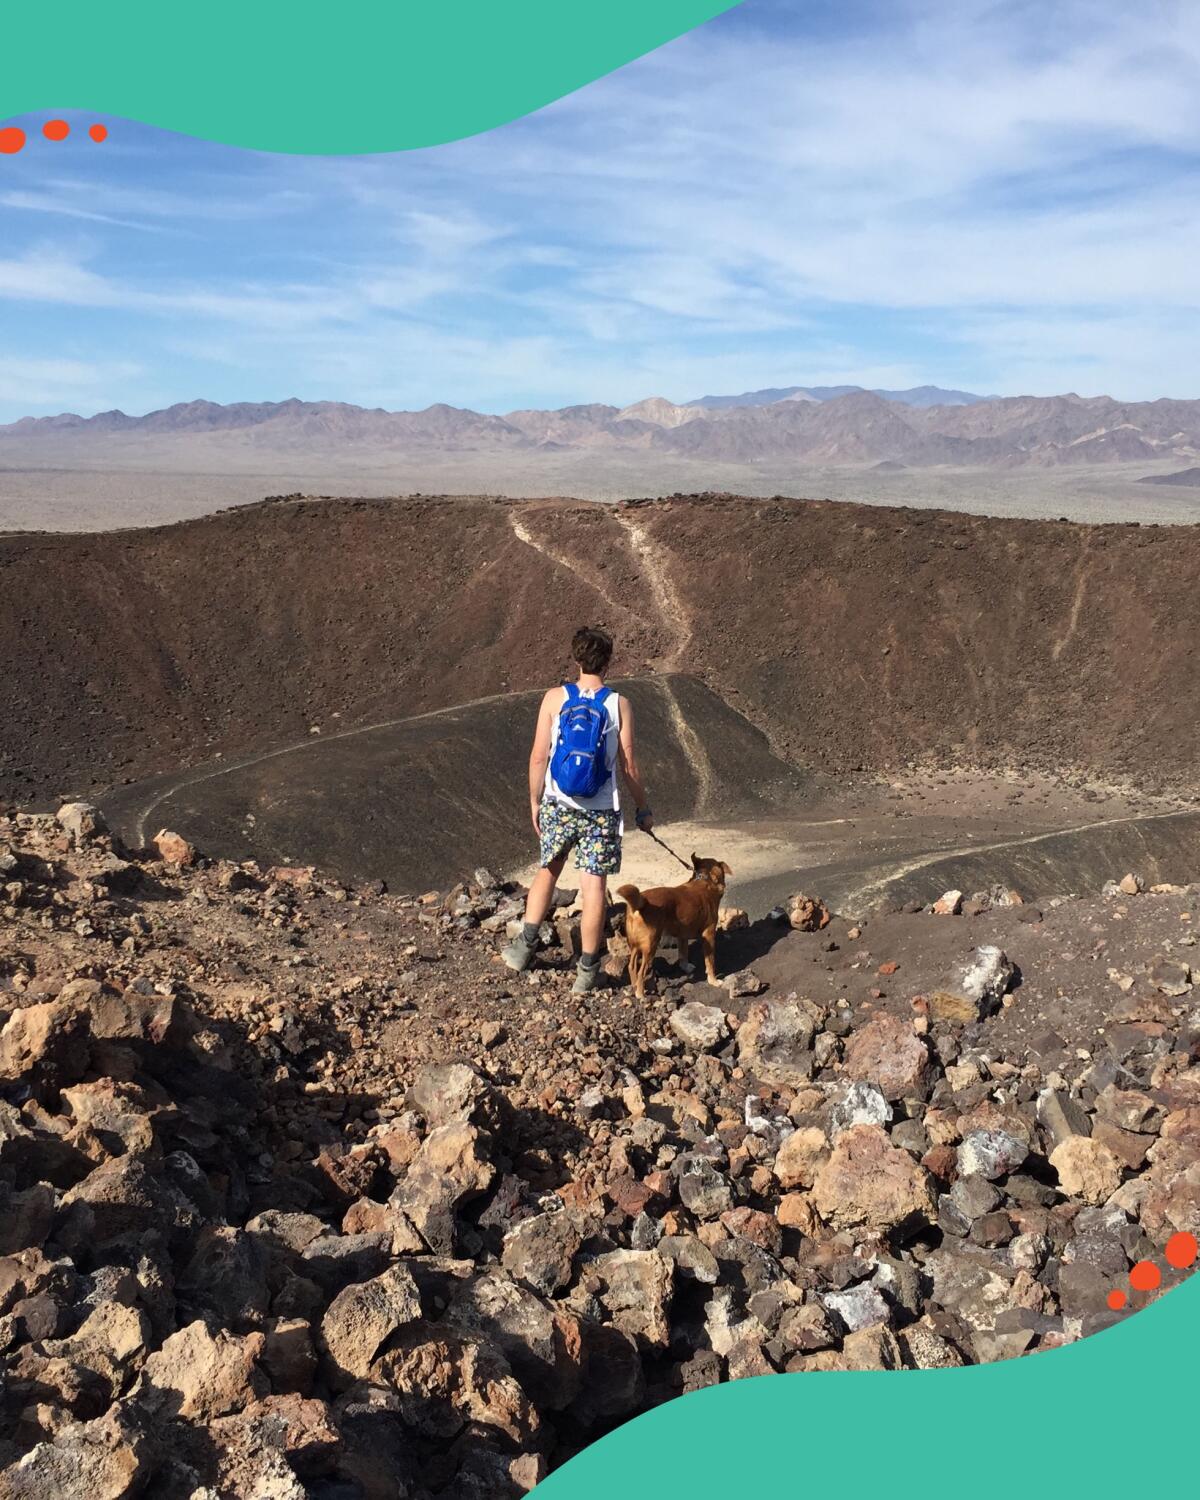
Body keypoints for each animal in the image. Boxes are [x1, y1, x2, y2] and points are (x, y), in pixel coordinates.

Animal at [618, 858, 732, 996]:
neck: (705, 880)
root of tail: (642, 902)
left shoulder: (682, 935)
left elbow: (683, 953)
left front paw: (685, 967)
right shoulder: (709, 935)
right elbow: (710, 962)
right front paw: (713, 981)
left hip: (635, 945)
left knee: (632, 967)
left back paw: (634, 987)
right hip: (650, 946)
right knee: (641, 972)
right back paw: (640, 994)